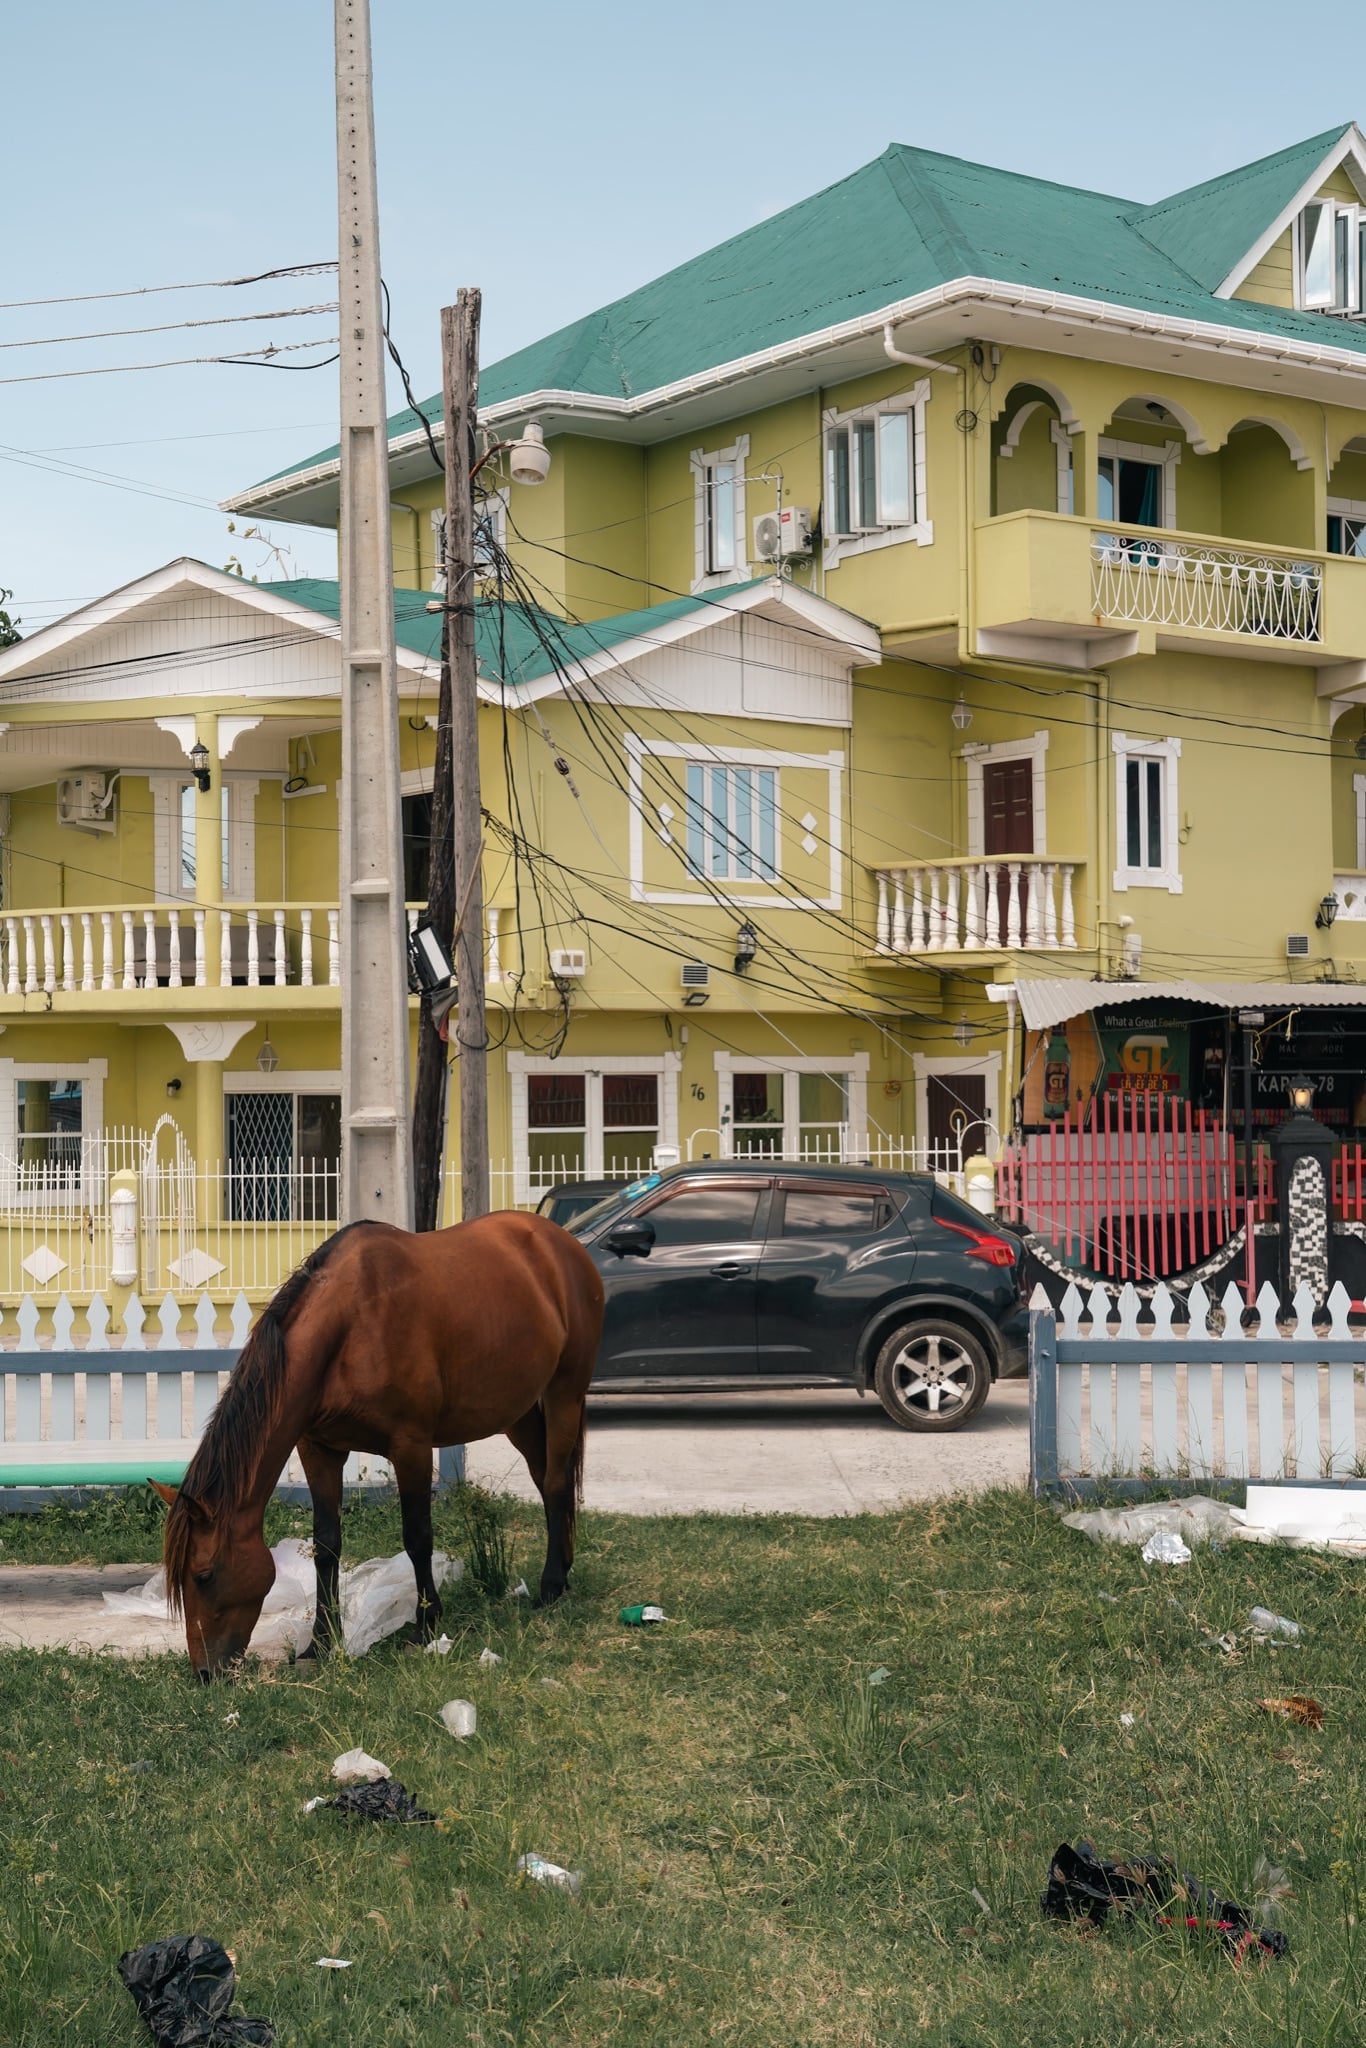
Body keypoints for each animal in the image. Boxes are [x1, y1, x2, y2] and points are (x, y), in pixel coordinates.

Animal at [150, 1210, 604, 1679]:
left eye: (203, 1575)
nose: (206, 1672)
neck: (352, 1326)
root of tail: (562, 1242)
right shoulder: (318, 1449)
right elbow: (326, 1545)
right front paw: (320, 1641)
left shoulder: (412, 1447)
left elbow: (418, 1537)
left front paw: (426, 1623)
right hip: (519, 1412)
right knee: (546, 1479)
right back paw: (563, 1568)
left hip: (564, 1393)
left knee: (555, 1482)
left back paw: (551, 1587)